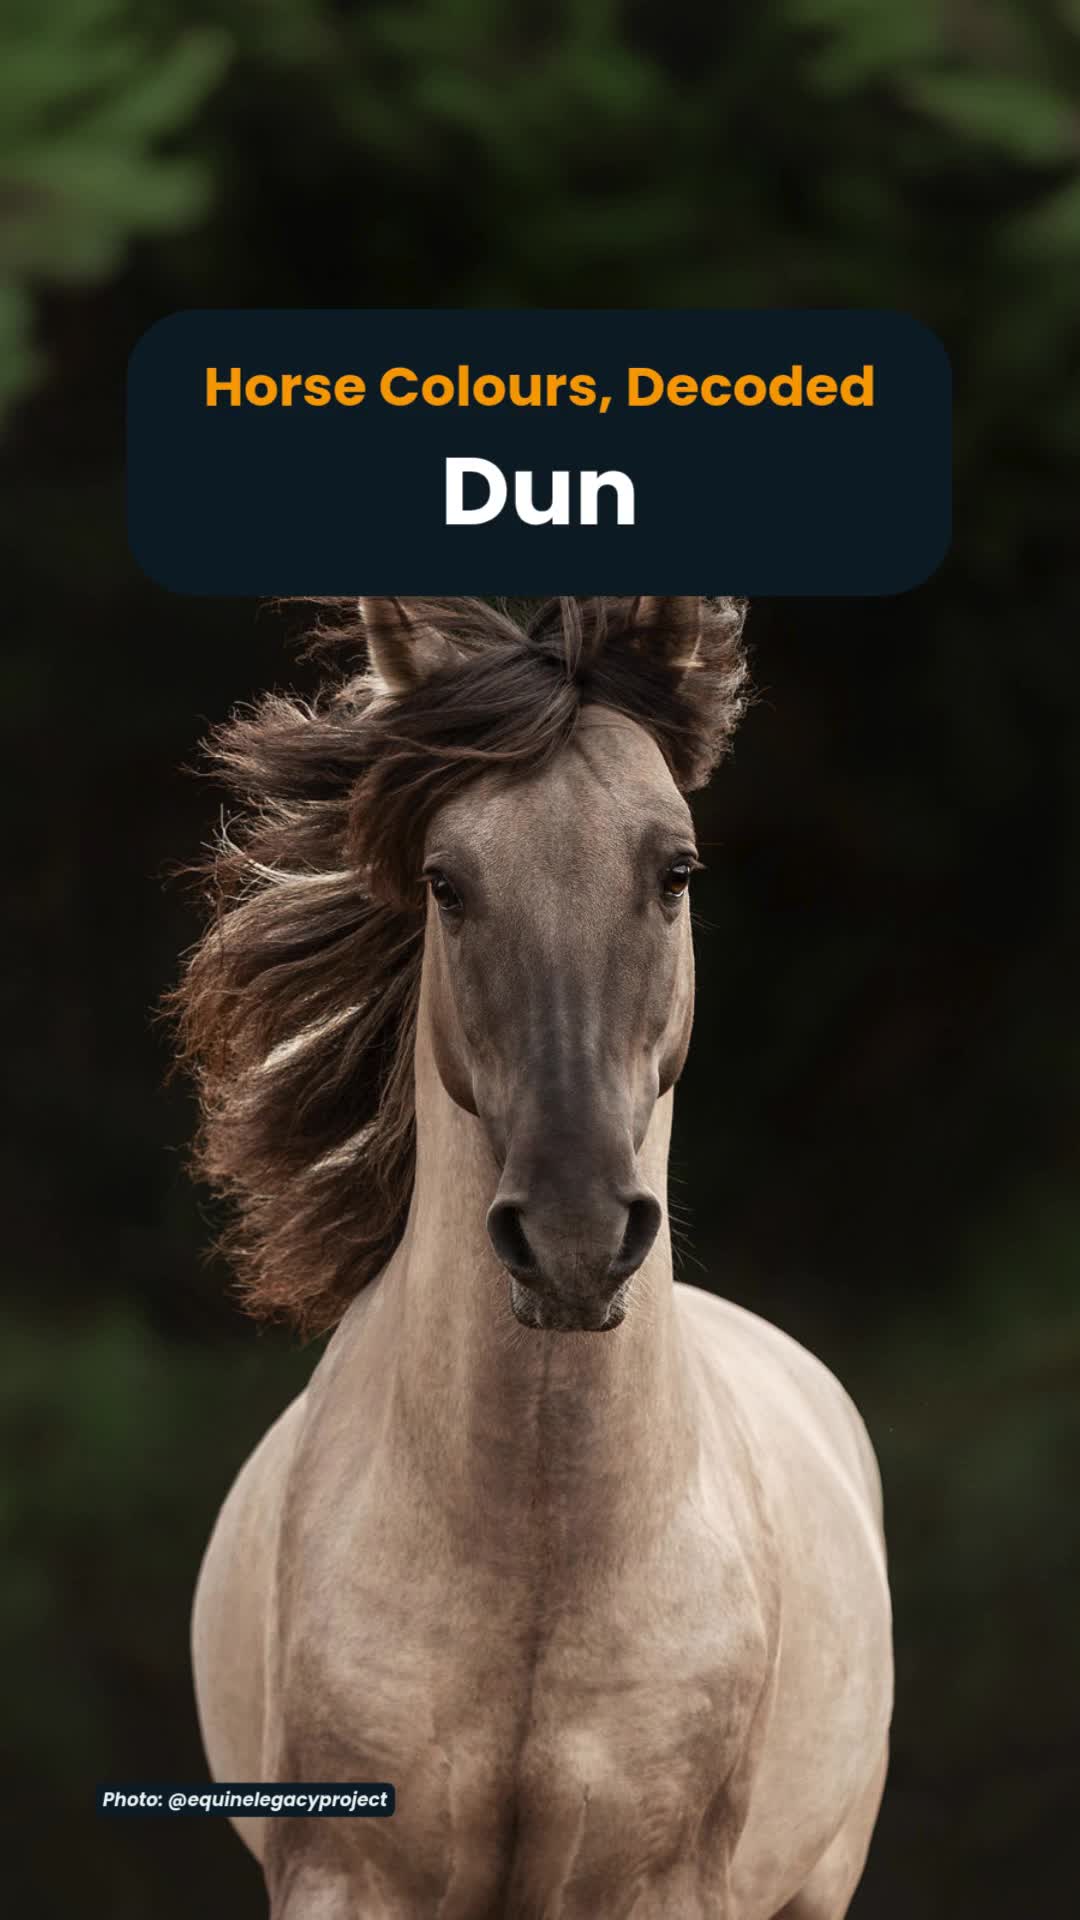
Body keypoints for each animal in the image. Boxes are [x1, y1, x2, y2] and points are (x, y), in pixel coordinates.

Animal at [178, 595, 892, 1919]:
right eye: (447, 883)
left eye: (675, 871)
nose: (573, 1236)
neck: (541, 1540)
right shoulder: (347, 1874)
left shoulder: (661, 1883)